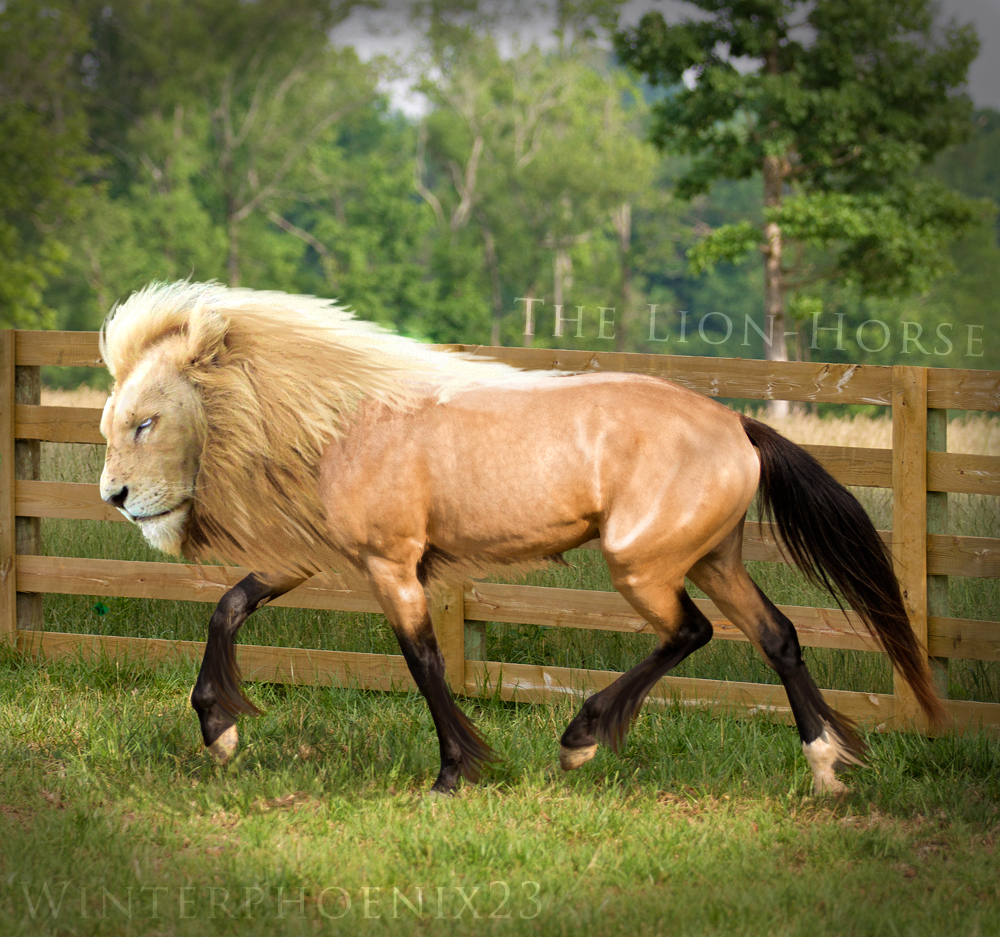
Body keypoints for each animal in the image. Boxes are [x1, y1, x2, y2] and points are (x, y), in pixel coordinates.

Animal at [97, 281, 943, 795]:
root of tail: (739, 426)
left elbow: (424, 661)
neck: (342, 424)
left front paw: (453, 772)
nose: (117, 499)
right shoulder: (315, 558)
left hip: (642, 564)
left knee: (691, 631)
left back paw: (581, 737)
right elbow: (229, 606)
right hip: (714, 557)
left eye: (146, 422)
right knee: (778, 636)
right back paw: (826, 766)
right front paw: (219, 728)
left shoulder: (391, 565)